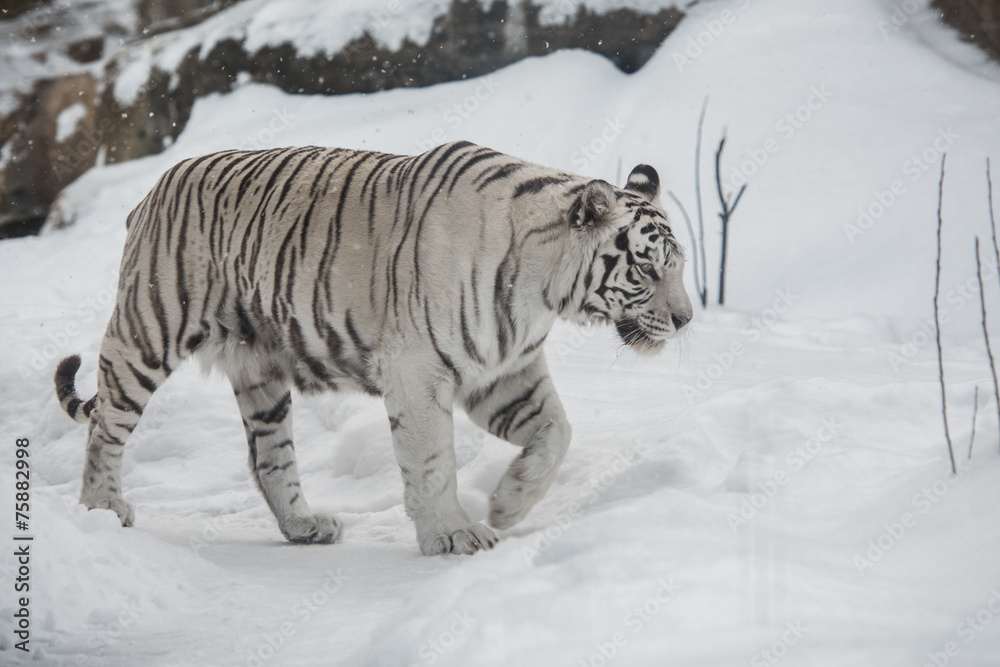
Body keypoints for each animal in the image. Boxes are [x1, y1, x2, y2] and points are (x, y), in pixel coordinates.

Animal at [53, 140, 692, 556]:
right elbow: (433, 461)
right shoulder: (419, 369)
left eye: (680, 266)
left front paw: (509, 503)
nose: (686, 319)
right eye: (646, 267)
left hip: (260, 371)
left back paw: (305, 527)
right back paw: (102, 511)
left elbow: (557, 432)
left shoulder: (504, 371)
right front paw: (454, 534)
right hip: (147, 332)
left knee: (269, 457)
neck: (544, 293)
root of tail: (152, 190)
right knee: (106, 427)